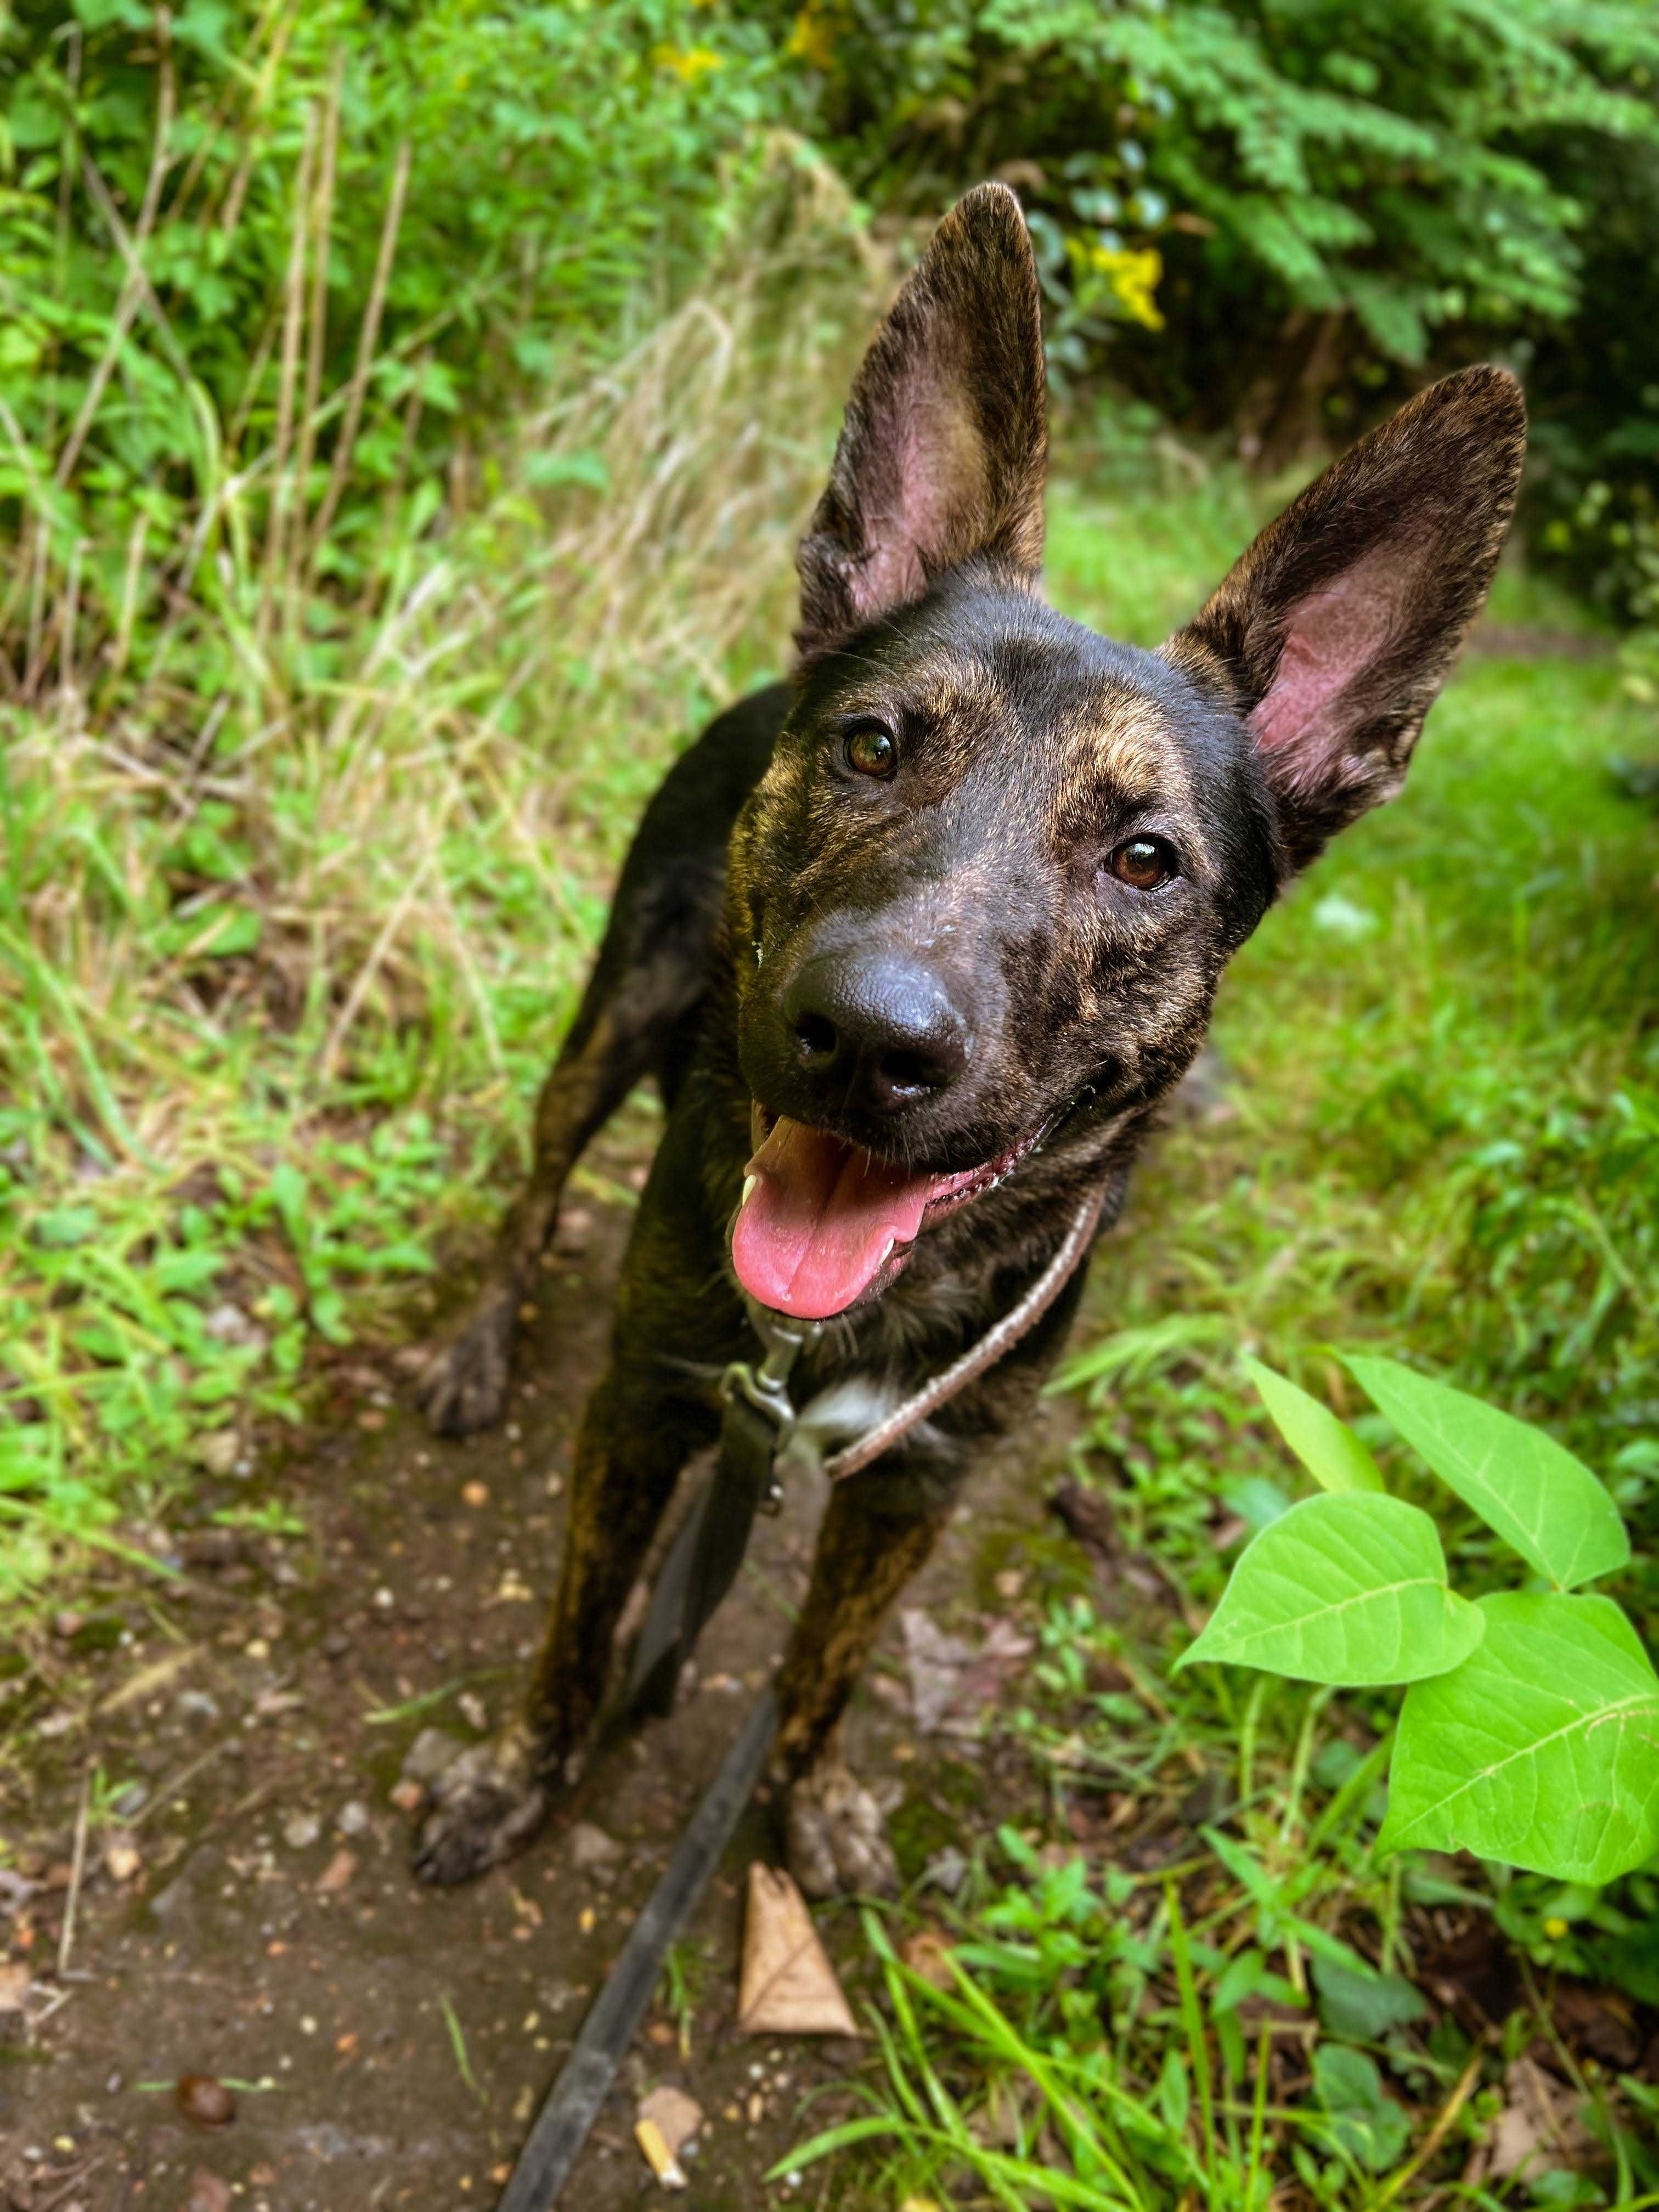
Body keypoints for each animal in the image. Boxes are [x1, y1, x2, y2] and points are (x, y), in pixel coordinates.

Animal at [409, 181, 1531, 1893]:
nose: (866, 1041)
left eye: (1146, 858)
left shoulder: (915, 1491)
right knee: (537, 1181)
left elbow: (826, 1673)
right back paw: (478, 1345)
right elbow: (577, 1637)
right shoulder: (649, 1402)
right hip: (619, 1015)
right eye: (874, 747)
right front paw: (515, 1777)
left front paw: (807, 1806)